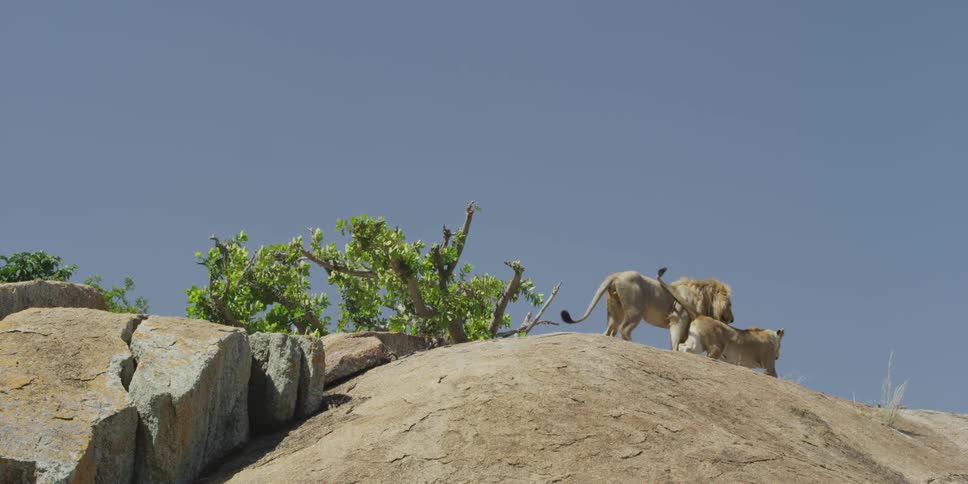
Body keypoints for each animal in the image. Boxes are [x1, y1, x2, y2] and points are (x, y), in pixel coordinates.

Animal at [560, 269, 734, 348]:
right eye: (730, 305)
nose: (733, 319)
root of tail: (617, 274)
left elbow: (680, 341)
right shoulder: (678, 318)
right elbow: (675, 341)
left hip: (615, 311)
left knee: (610, 330)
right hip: (635, 311)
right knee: (624, 329)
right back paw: (635, 343)